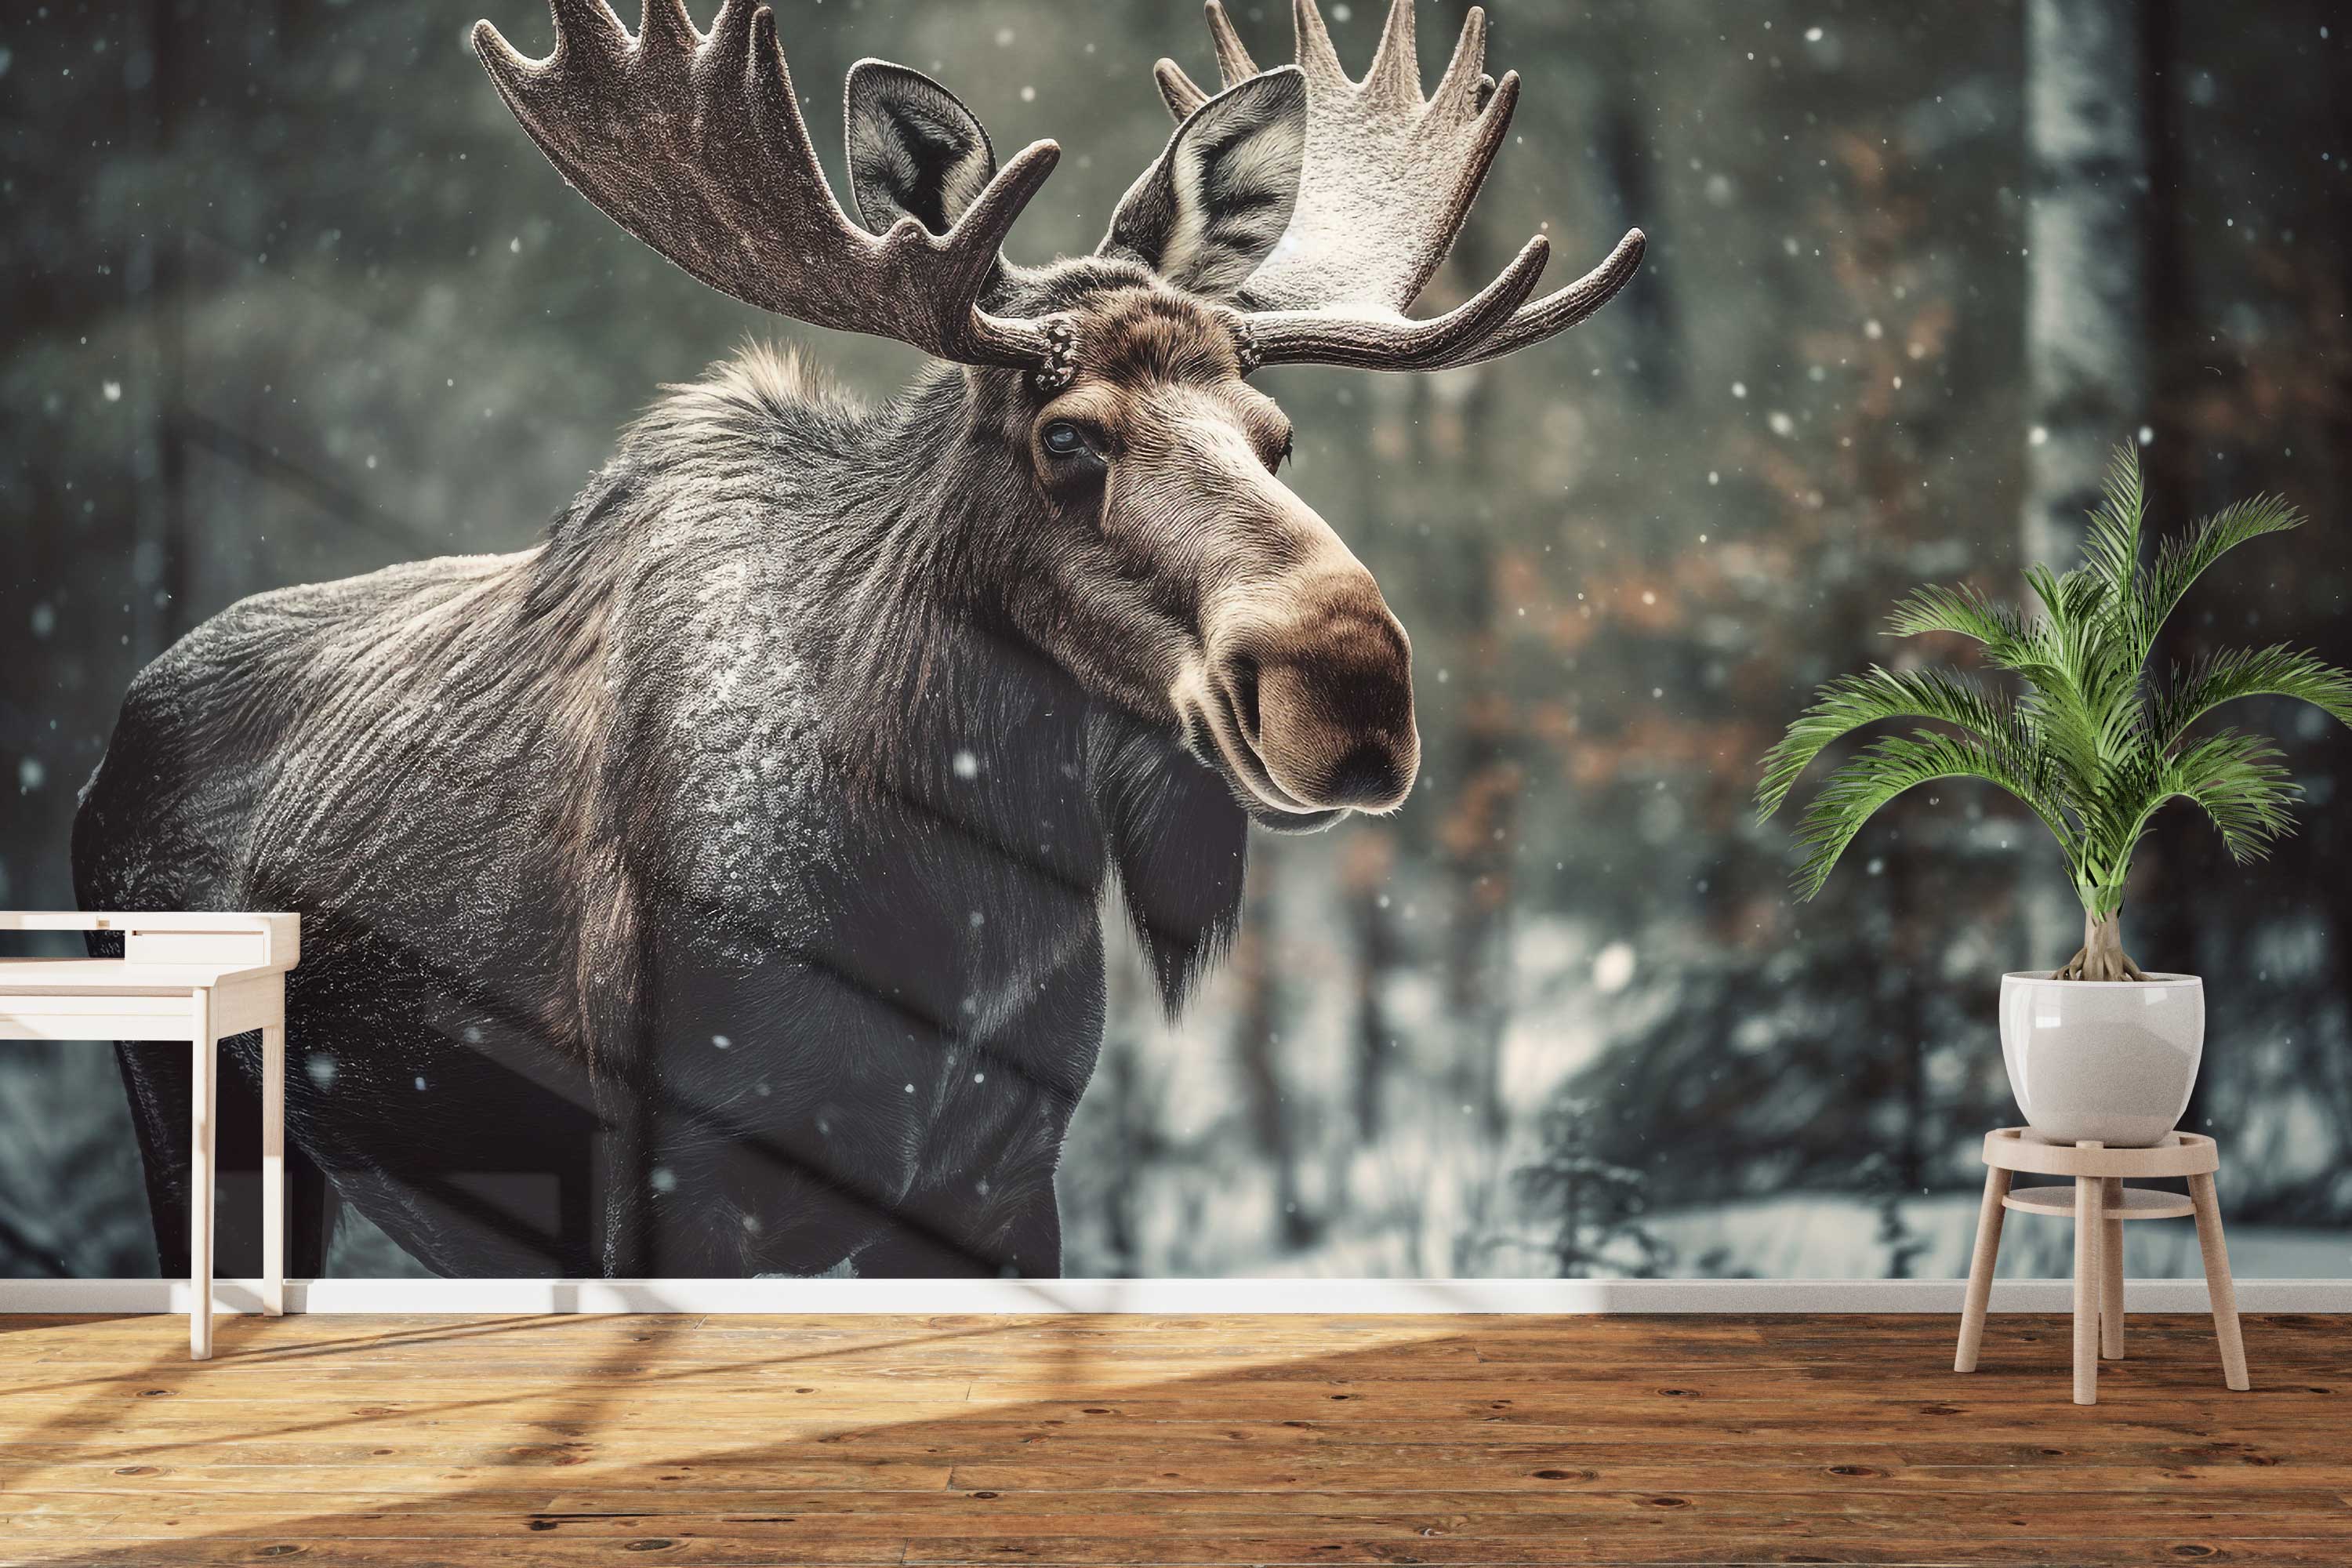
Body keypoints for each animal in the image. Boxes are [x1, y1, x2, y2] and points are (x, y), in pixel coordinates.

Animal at [72, 0, 1643, 1278]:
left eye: (1277, 434)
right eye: (1068, 436)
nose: (1349, 687)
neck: (944, 913)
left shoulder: (1001, 1190)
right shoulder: (673, 1179)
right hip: (190, 1110)